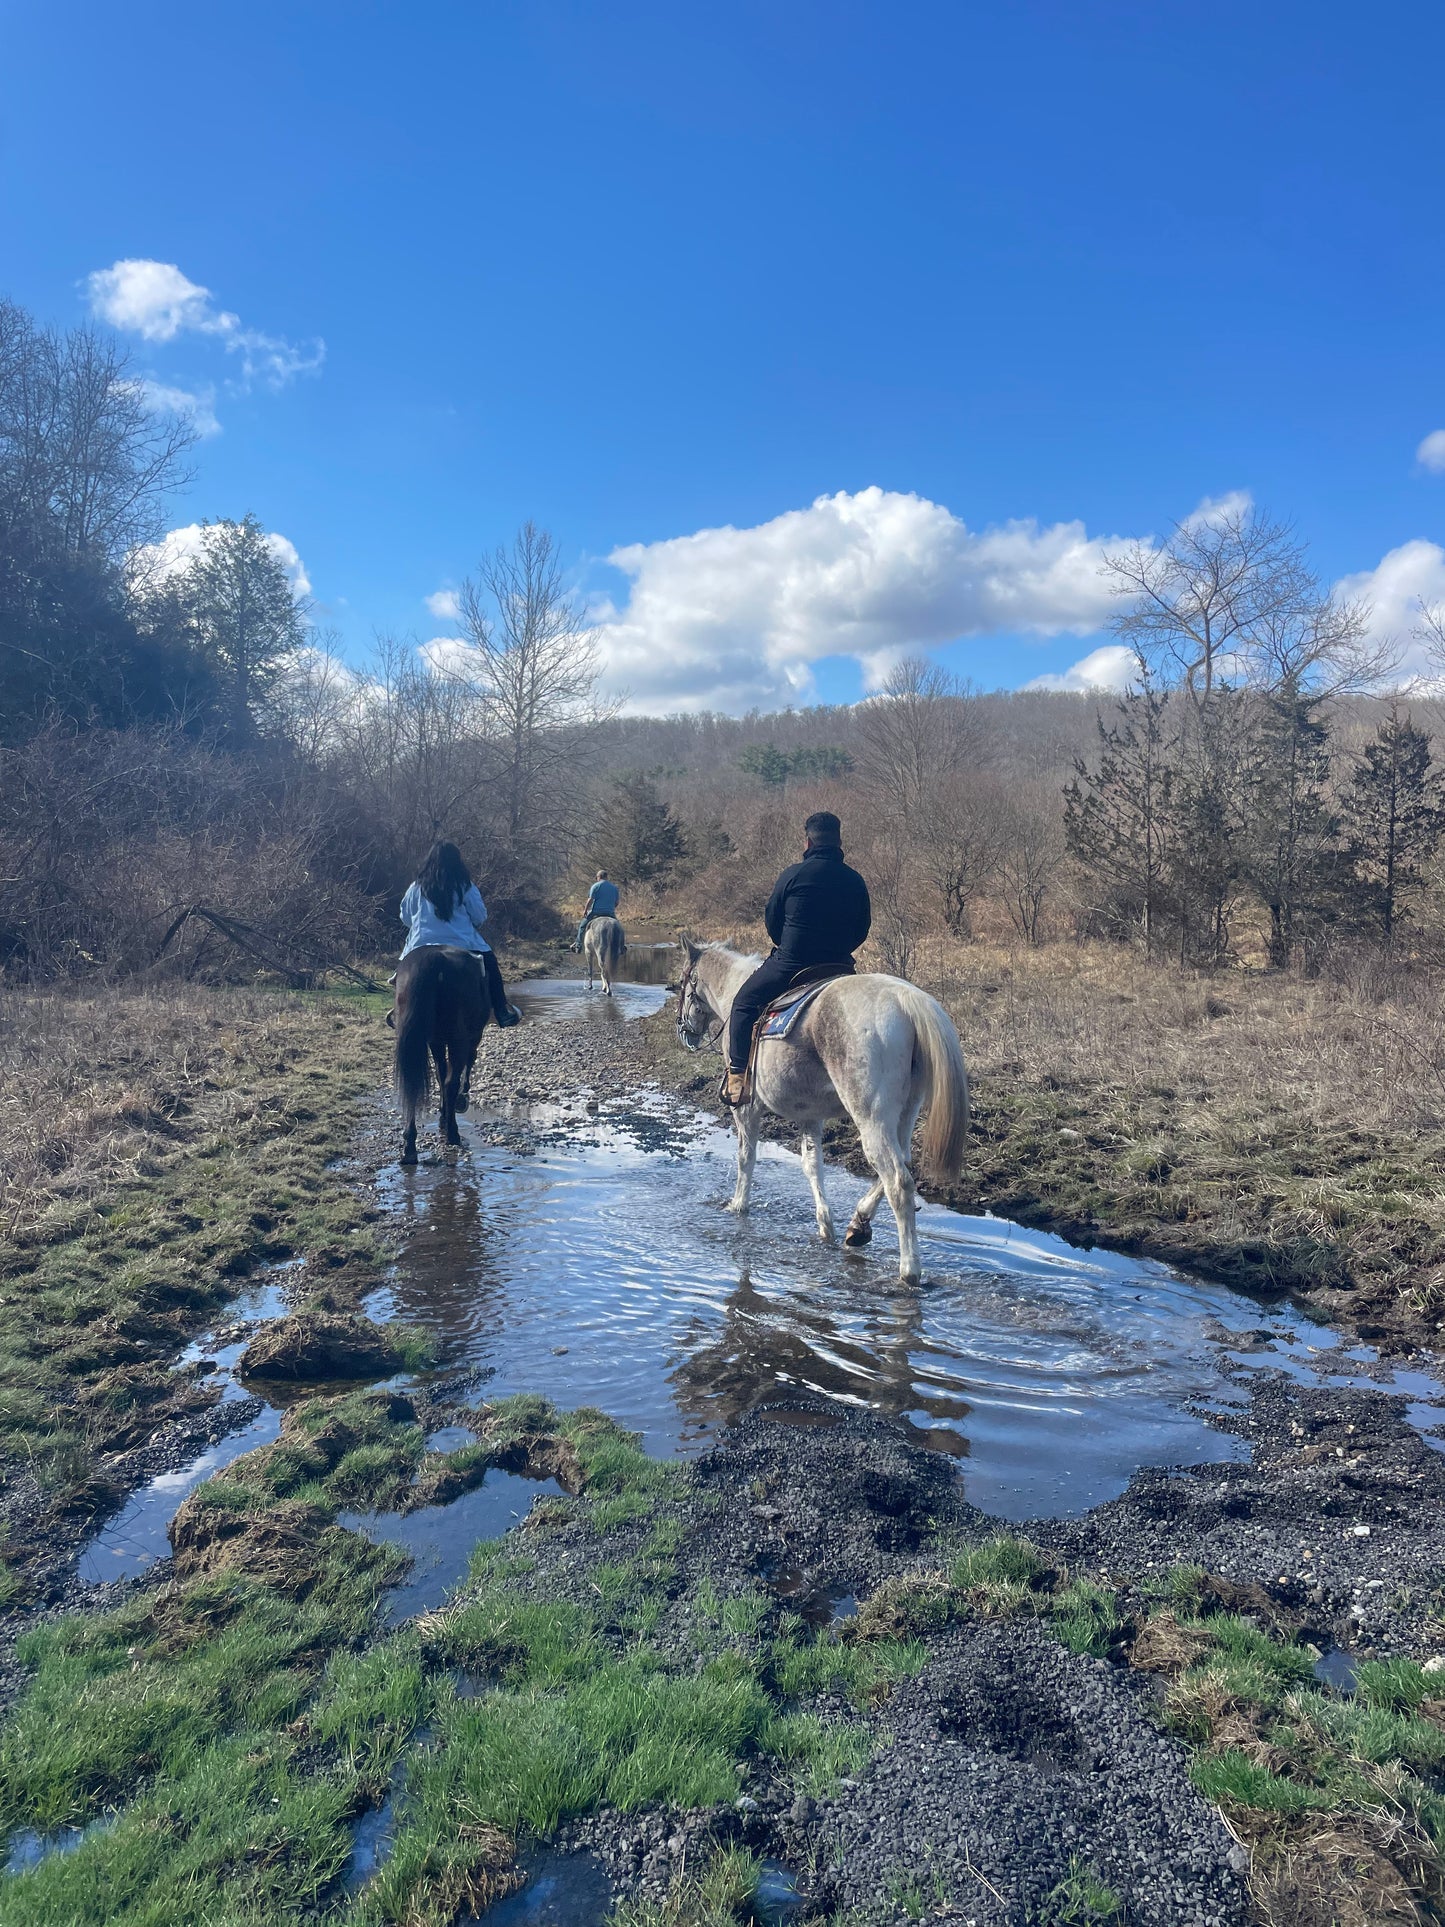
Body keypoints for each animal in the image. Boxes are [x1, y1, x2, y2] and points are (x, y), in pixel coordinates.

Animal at [396, 944, 493, 1163]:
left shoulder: (436, 1041)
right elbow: (464, 1065)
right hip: (459, 1039)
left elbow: (440, 1072)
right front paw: (459, 1101)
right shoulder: (472, 1036)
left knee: (412, 1084)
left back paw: (409, 1146)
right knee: (451, 1082)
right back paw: (453, 1133)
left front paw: (443, 1111)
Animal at [678, 936, 974, 1279]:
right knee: (902, 1163)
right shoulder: (810, 1115)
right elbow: (812, 1165)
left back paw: (909, 1269)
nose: (684, 1032)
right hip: (904, 1113)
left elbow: (746, 1157)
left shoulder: (747, 1110)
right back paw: (858, 1225)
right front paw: (825, 1226)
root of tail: (906, 999)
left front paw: (738, 1205)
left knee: (898, 1182)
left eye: (682, 983)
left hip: (871, 1119)